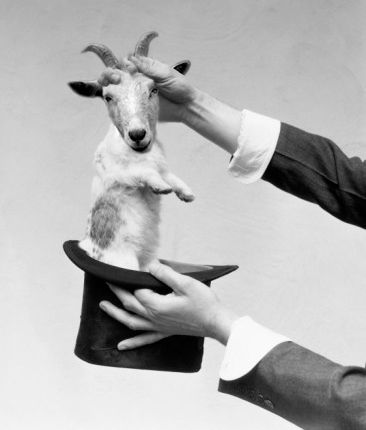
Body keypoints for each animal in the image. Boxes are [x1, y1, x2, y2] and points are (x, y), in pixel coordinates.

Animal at [68, 32, 194, 268]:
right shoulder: (116, 172)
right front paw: (161, 187)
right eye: (107, 97)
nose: (137, 135)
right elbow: (141, 172)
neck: (140, 153)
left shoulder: (160, 165)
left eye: (154, 89)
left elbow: (168, 174)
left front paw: (186, 193)